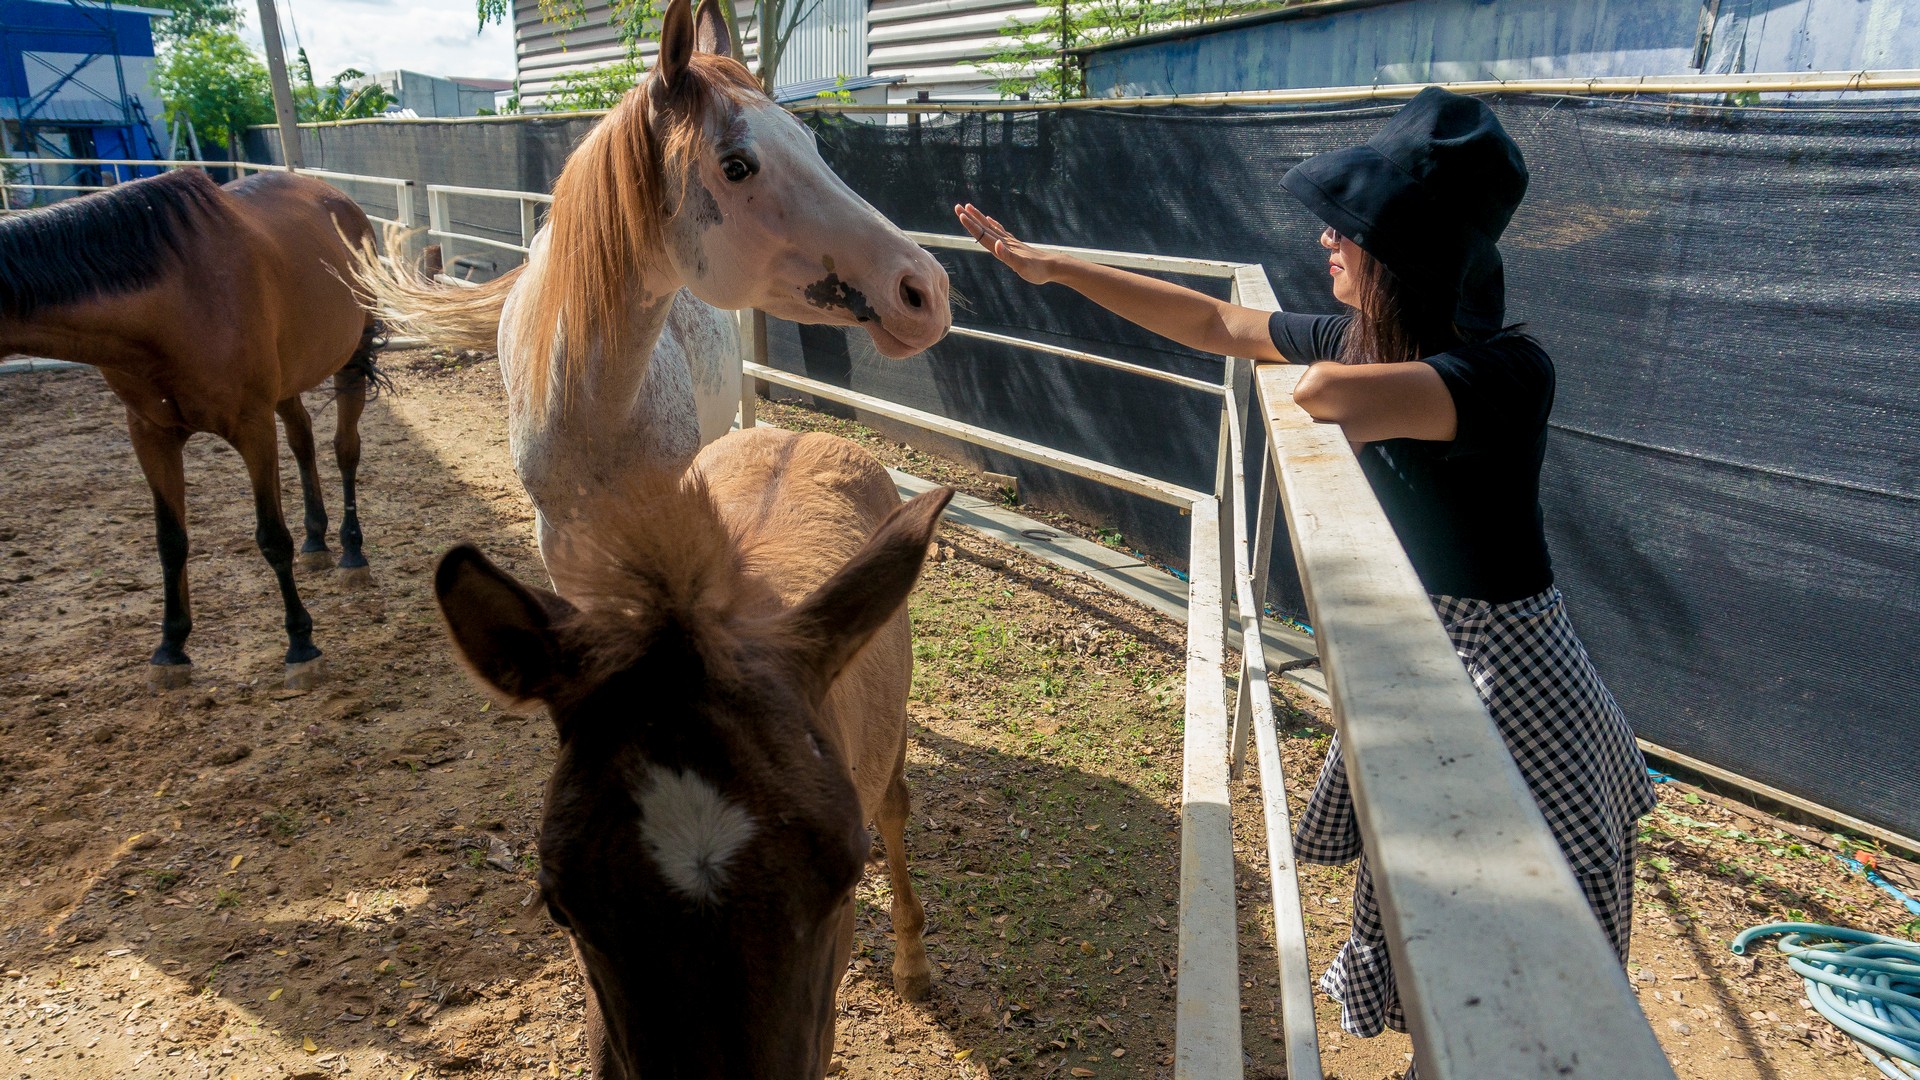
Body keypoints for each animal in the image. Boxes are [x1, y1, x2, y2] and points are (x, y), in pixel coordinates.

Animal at [0, 168, 385, 687]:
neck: (176, 297)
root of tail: (338, 198)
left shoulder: (251, 426)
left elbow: (271, 536)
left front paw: (301, 644)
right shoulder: (150, 433)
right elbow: (170, 541)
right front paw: (171, 647)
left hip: (350, 358)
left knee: (345, 448)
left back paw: (350, 552)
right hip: (287, 380)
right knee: (302, 438)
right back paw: (315, 541)